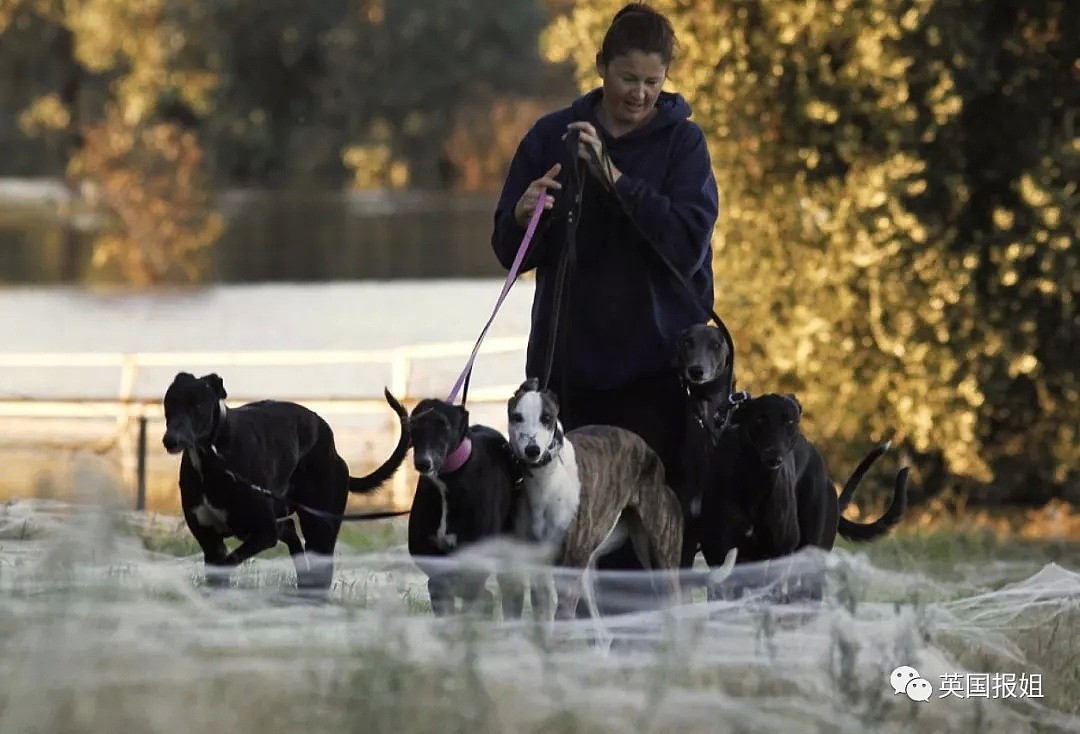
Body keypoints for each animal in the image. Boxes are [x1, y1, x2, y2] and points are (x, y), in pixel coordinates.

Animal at [163, 373, 408, 591]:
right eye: (169, 404)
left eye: (197, 407)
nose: (170, 440)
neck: (214, 456)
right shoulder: (210, 539)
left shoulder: (264, 530)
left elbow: (228, 563)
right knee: (291, 533)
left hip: (320, 525)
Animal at [503, 377, 682, 617]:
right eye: (517, 417)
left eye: (547, 417)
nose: (532, 450)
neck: (547, 480)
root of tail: (651, 453)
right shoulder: (538, 565)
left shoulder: (571, 563)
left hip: (661, 558)